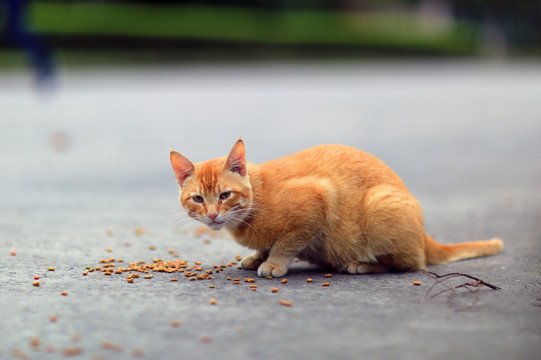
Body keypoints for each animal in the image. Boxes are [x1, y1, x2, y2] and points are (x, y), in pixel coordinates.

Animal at [169, 139, 502, 278]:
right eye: (198, 199)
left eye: (224, 195)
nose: (213, 215)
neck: (257, 198)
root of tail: (423, 235)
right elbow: (269, 244)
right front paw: (257, 256)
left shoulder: (318, 200)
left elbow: (286, 243)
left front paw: (274, 262)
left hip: (380, 206)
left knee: (410, 264)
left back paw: (363, 265)